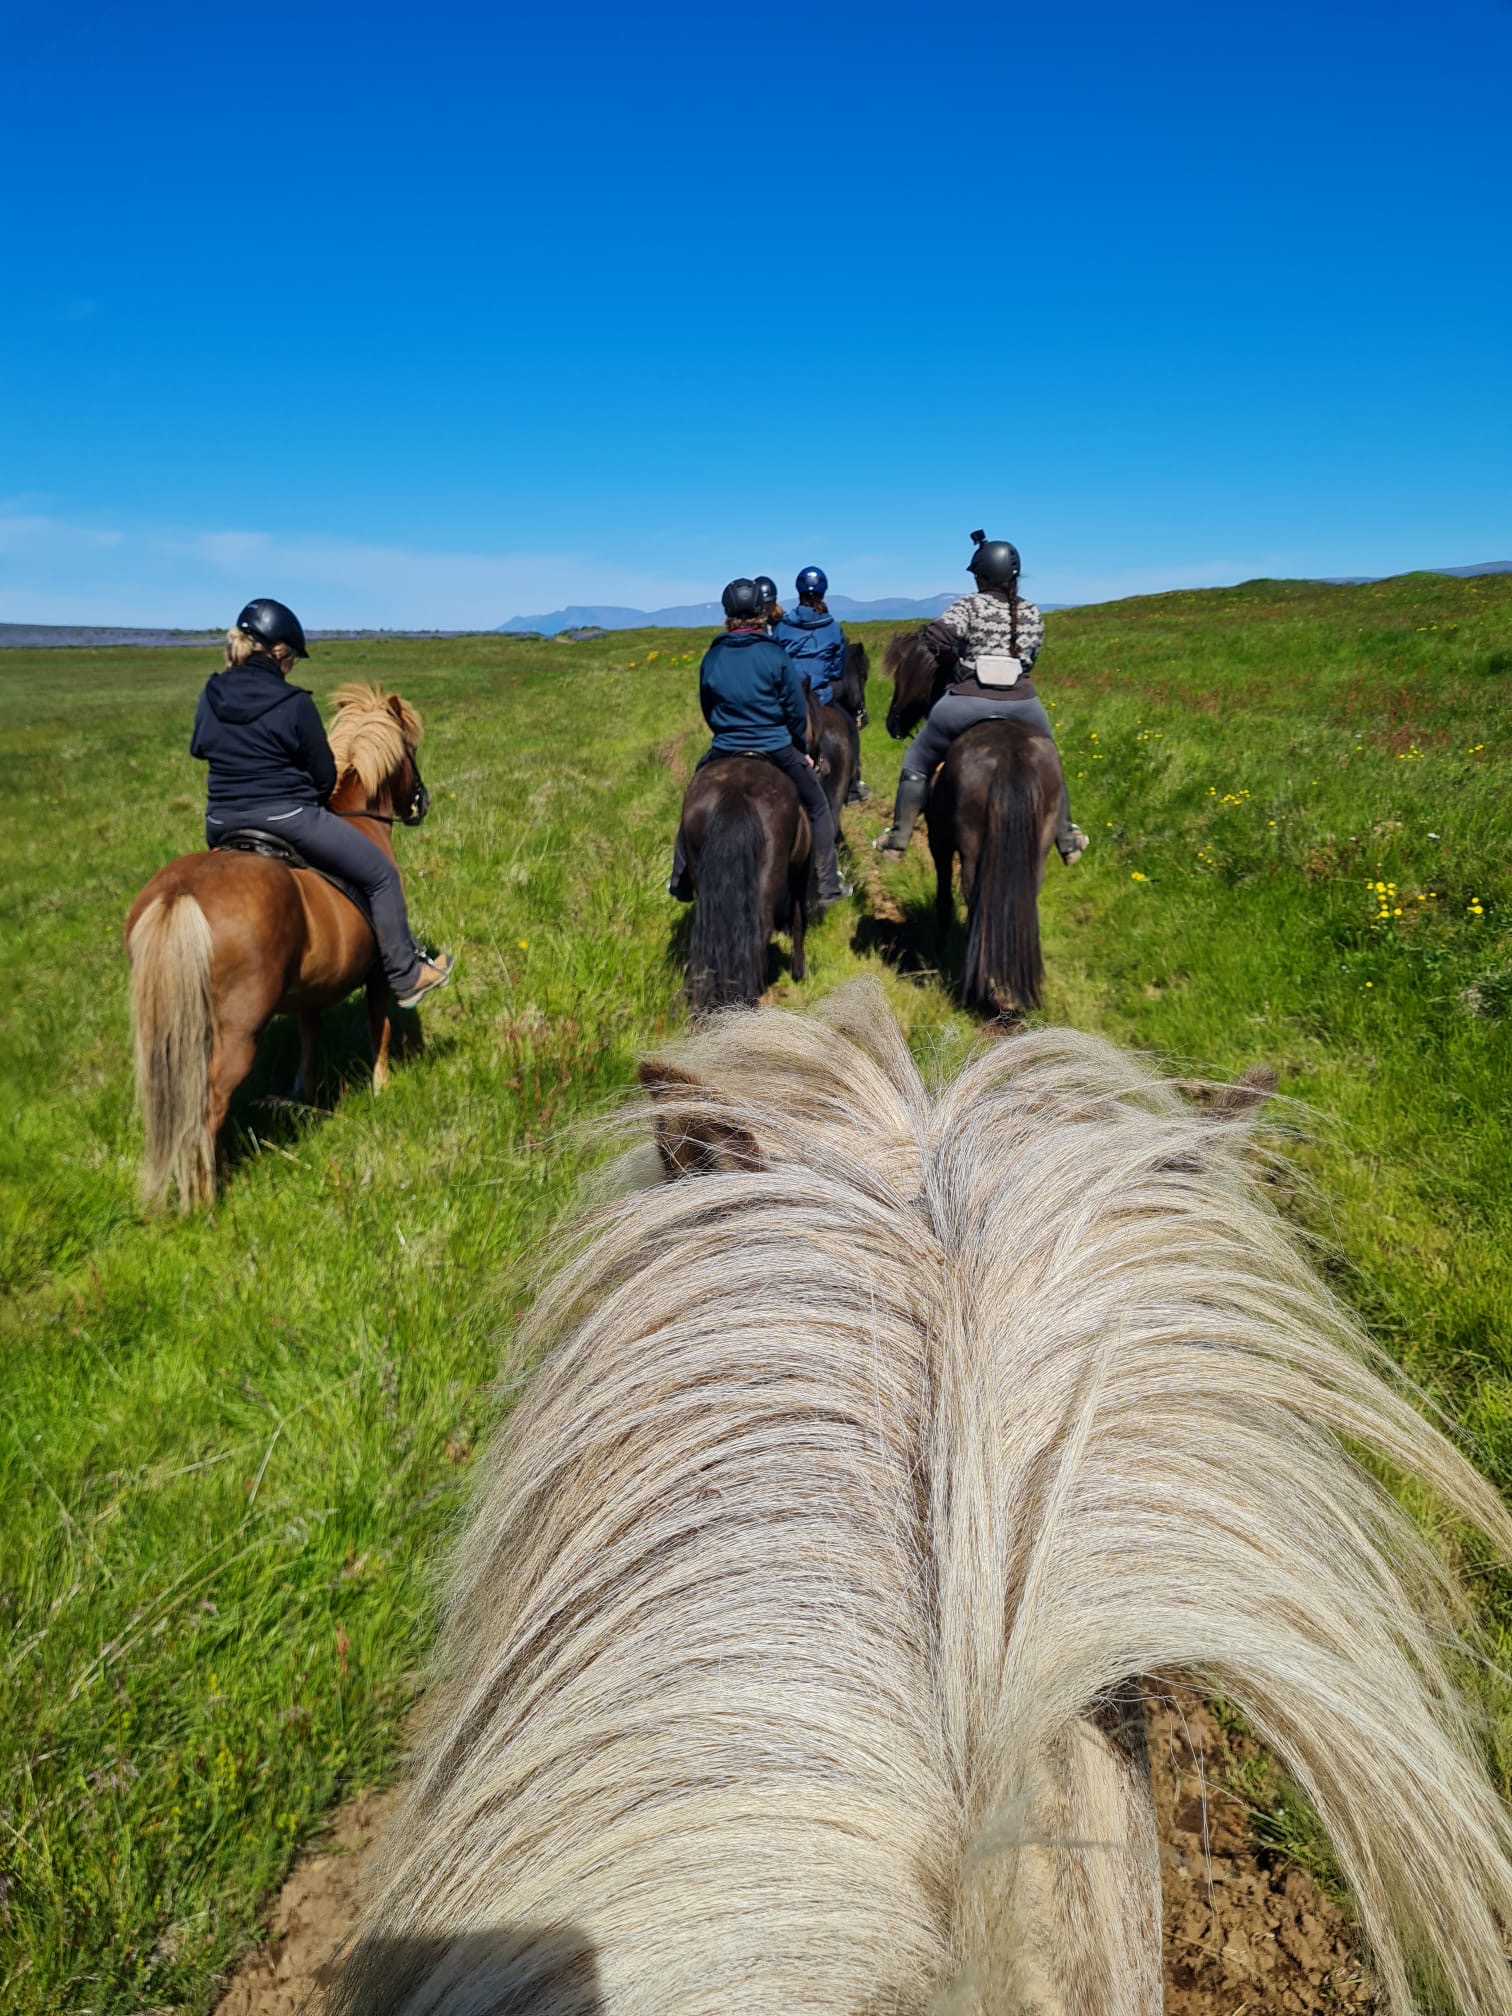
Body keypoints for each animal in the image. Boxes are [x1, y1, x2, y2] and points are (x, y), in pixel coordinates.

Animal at [124, 683, 431, 1210]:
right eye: (410, 749)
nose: (422, 801)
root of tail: (179, 894)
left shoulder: (312, 987)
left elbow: (309, 1036)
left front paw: (302, 1092)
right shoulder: (376, 973)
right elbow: (381, 1026)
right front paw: (382, 1084)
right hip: (237, 1032)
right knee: (208, 1109)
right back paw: (207, 1199)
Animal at [885, 628, 1060, 1014]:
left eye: (904, 675)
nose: (892, 722)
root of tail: (1010, 755)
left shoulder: (938, 841)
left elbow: (944, 898)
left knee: (971, 894)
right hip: (1038, 847)